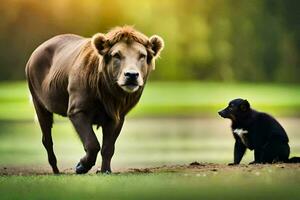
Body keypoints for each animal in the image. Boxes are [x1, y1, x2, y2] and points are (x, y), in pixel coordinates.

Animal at [25, 26, 164, 173]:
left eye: (142, 55)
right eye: (116, 55)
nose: (131, 75)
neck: (108, 93)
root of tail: (35, 51)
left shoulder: (116, 115)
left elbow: (108, 148)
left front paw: (105, 170)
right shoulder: (77, 109)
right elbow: (92, 143)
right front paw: (81, 166)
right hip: (38, 99)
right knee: (47, 136)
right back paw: (56, 170)